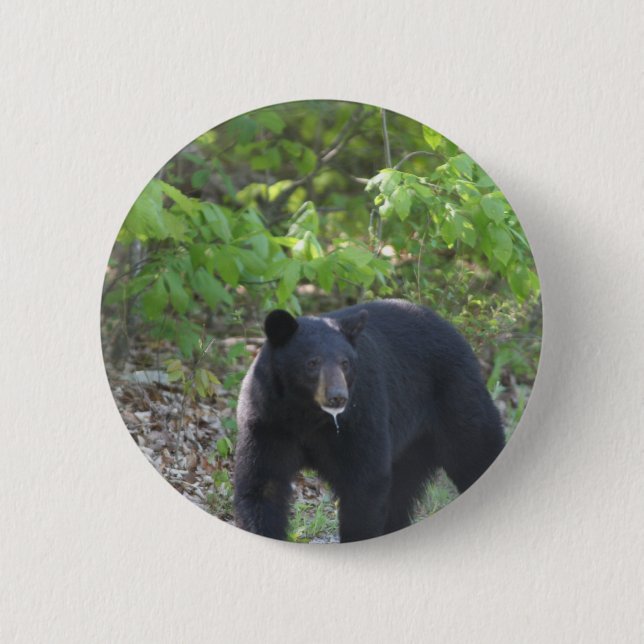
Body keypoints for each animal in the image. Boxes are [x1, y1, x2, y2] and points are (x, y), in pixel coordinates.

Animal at [233, 299, 505, 543]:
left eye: (345, 363)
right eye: (312, 362)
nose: (337, 397)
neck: (305, 414)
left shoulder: (360, 416)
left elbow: (364, 482)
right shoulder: (267, 421)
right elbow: (262, 484)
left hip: (456, 399)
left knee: (476, 451)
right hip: (411, 447)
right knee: (401, 492)